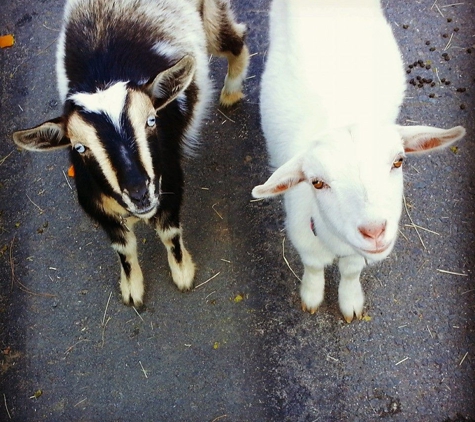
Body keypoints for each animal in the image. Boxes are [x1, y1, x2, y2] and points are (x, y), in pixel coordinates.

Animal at [12, 0, 249, 306]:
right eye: (80, 147)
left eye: (151, 121)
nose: (139, 193)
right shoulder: (99, 206)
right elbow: (124, 249)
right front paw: (132, 289)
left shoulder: (168, 182)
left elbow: (170, 233)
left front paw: (183, 274)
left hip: (211, 13)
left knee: (232, 37)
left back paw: (231, 92)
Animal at [253, 0, 464, 322]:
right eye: (317, 182)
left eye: (398, 161)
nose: (374, 231)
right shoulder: (303, 237)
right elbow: (313, 266)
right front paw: (311, 295)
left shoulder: (355, 254)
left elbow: (351, 272)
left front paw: (350, 301)